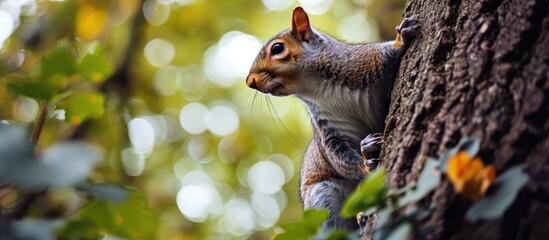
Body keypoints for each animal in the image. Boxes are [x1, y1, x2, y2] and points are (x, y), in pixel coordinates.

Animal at [245, 6, 420, 230]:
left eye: (277, 48)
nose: (250, 81)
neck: (315, 87)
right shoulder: (327, 129)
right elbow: (338, 157)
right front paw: (366, 158)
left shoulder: (364, 60)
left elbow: (388, 51)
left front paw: (401, 38)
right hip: (323, 195)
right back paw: (361, 219)